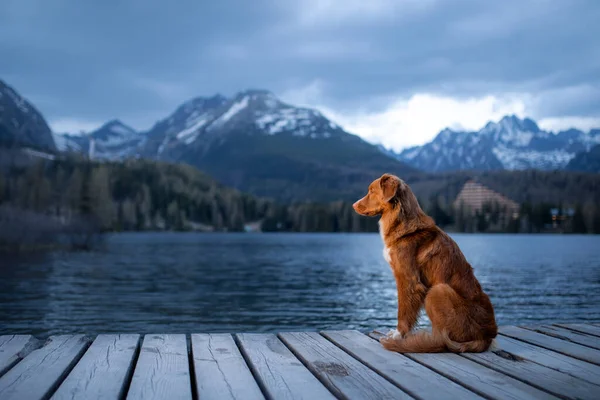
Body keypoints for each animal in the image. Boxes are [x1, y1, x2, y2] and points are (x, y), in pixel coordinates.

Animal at [352, 173, 496, 352]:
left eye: (371, 191)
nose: (353, 205)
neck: (403, 224)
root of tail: (486, 337)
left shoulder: (408, 280)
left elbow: (403, 312)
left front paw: (398, 335)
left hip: (437, 291)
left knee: (444, 340)